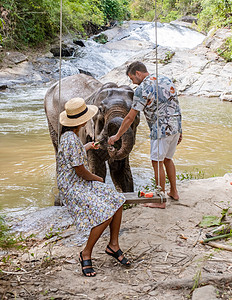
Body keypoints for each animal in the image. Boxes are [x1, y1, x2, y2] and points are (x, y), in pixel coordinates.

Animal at [44, 73, 140, 202]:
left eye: (135, 112)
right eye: (101, 110)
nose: (112, 145)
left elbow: (120, 170)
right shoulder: (86, 132)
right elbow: (98, 170)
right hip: (50, 117)